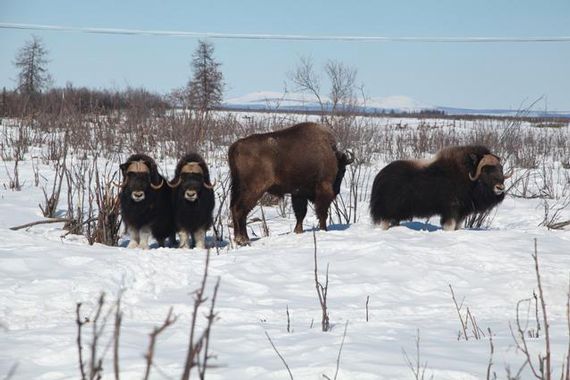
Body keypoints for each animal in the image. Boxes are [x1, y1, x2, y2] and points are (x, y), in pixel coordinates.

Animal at [368, 145, 510, 229]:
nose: (500, 188)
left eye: (500, 168)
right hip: (386, 212)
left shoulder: (461, 213)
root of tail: (379, 176)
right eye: (486, 170)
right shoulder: (451, 209)